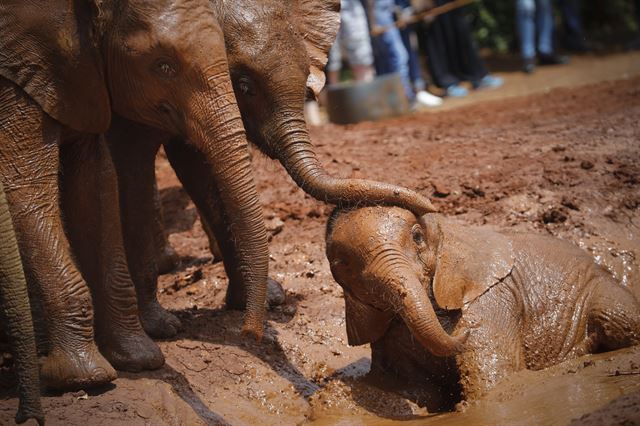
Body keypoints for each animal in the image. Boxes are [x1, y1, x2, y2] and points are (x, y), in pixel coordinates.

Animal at [0, 0, 268, 388]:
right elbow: (26, 185)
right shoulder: (16, 82)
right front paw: (83, 378)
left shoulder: (79, 78)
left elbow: (97, 185)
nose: (249, 334)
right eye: (163, 66)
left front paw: (138, 359)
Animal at [111, 0, 440, 340]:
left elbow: (199, 168)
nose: (430, 205)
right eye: (244, 86)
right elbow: (134, 159)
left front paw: (261, 300)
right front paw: (161, 329)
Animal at [328, 208, 636, 402]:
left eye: (417, 237)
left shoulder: (493, 296)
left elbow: (494, 380)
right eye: (341, 263)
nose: (462, 330)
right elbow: (412, 390)